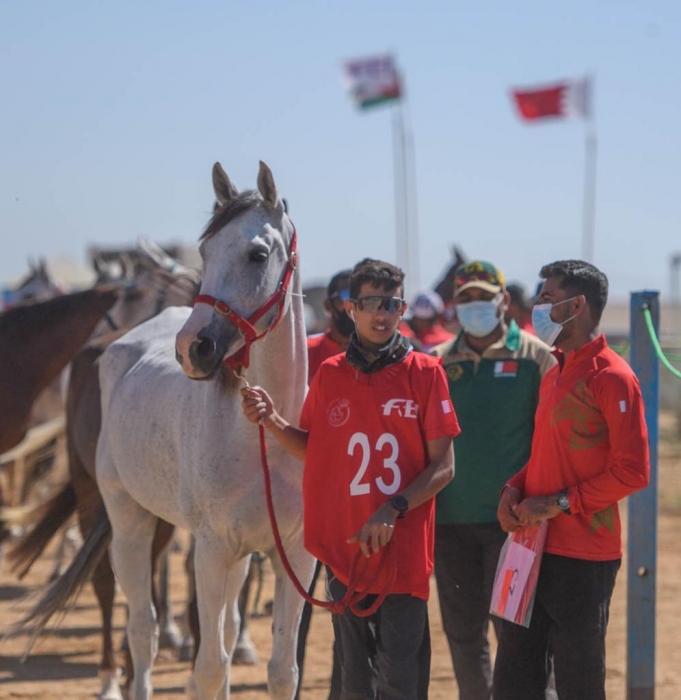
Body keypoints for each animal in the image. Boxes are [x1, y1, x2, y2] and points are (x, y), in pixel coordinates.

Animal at [95, 161, 314, 696]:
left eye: (258, 254)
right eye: (205, 251)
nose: (193, 348)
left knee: (229, 631)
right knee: (143, 630)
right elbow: (209, 666)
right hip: (129, 523)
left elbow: (282, 669)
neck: (263, 439)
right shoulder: (211, 550)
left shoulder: (293, 556)